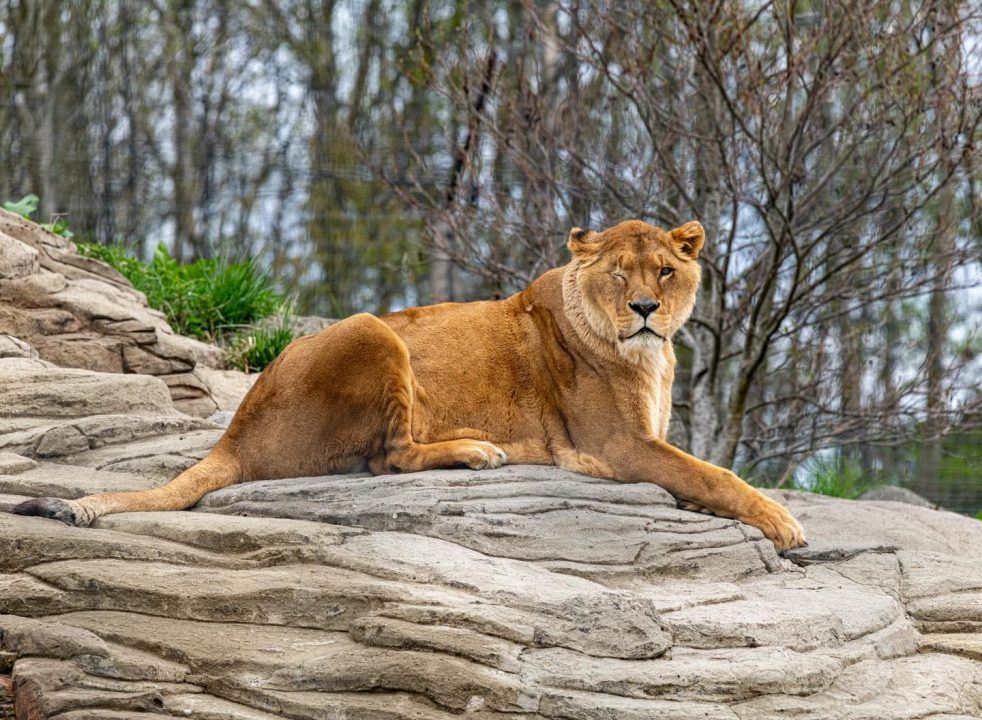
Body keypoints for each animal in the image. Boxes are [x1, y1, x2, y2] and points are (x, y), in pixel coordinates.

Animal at [14, 220, 806, 550]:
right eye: (619, 273)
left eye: (665, 271)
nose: (644, 309)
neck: (648, 355)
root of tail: (235, 431)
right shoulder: (615, 445)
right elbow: (711, 473)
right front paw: (784, 523)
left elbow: (703, 472)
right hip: (374, 330)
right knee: (387, 457)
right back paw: (478, 452)